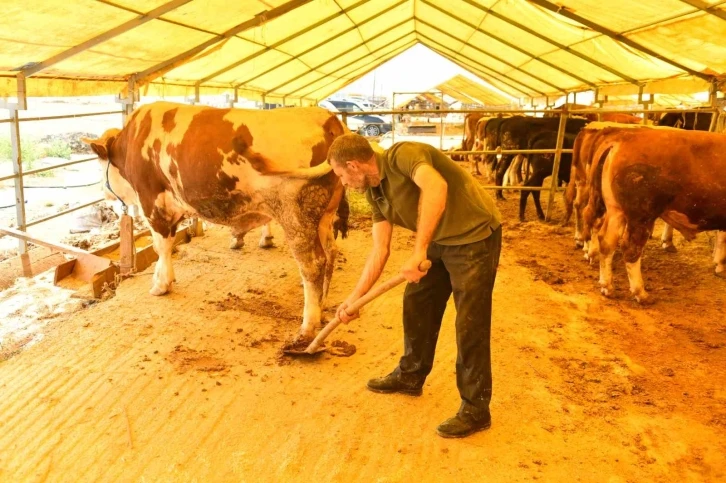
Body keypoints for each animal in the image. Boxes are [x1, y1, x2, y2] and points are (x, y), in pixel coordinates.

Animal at [82, 101, 350, 340]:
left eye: (100, 163)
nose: (103, 191)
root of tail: (328, 118)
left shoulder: (152, 200)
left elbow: (162, 246)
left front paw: (161, 285)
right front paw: (166, 278)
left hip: (296, 213)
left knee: (312, 265)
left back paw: (307, 327)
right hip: (324, 214)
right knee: (331, 252)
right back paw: (323, 304)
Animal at [584, 129, 726, 302]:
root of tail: (624, 135)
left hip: (615, 210)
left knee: (606, 241)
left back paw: (607, 287)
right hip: (641, 216)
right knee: (630, 248)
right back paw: (641, 293)